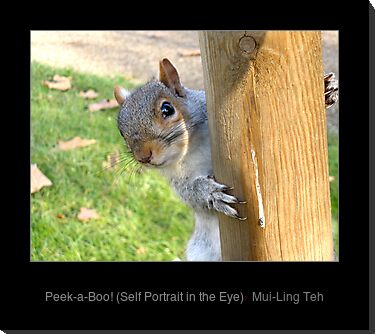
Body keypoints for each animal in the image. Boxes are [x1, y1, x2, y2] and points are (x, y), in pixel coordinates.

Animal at [113, 58, 340, 260]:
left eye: (167, 109)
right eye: (122, 131)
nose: (143, 156)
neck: (191, 148)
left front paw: (326, 90)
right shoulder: (177, 180)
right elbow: (191, 194)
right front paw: (210, 193)